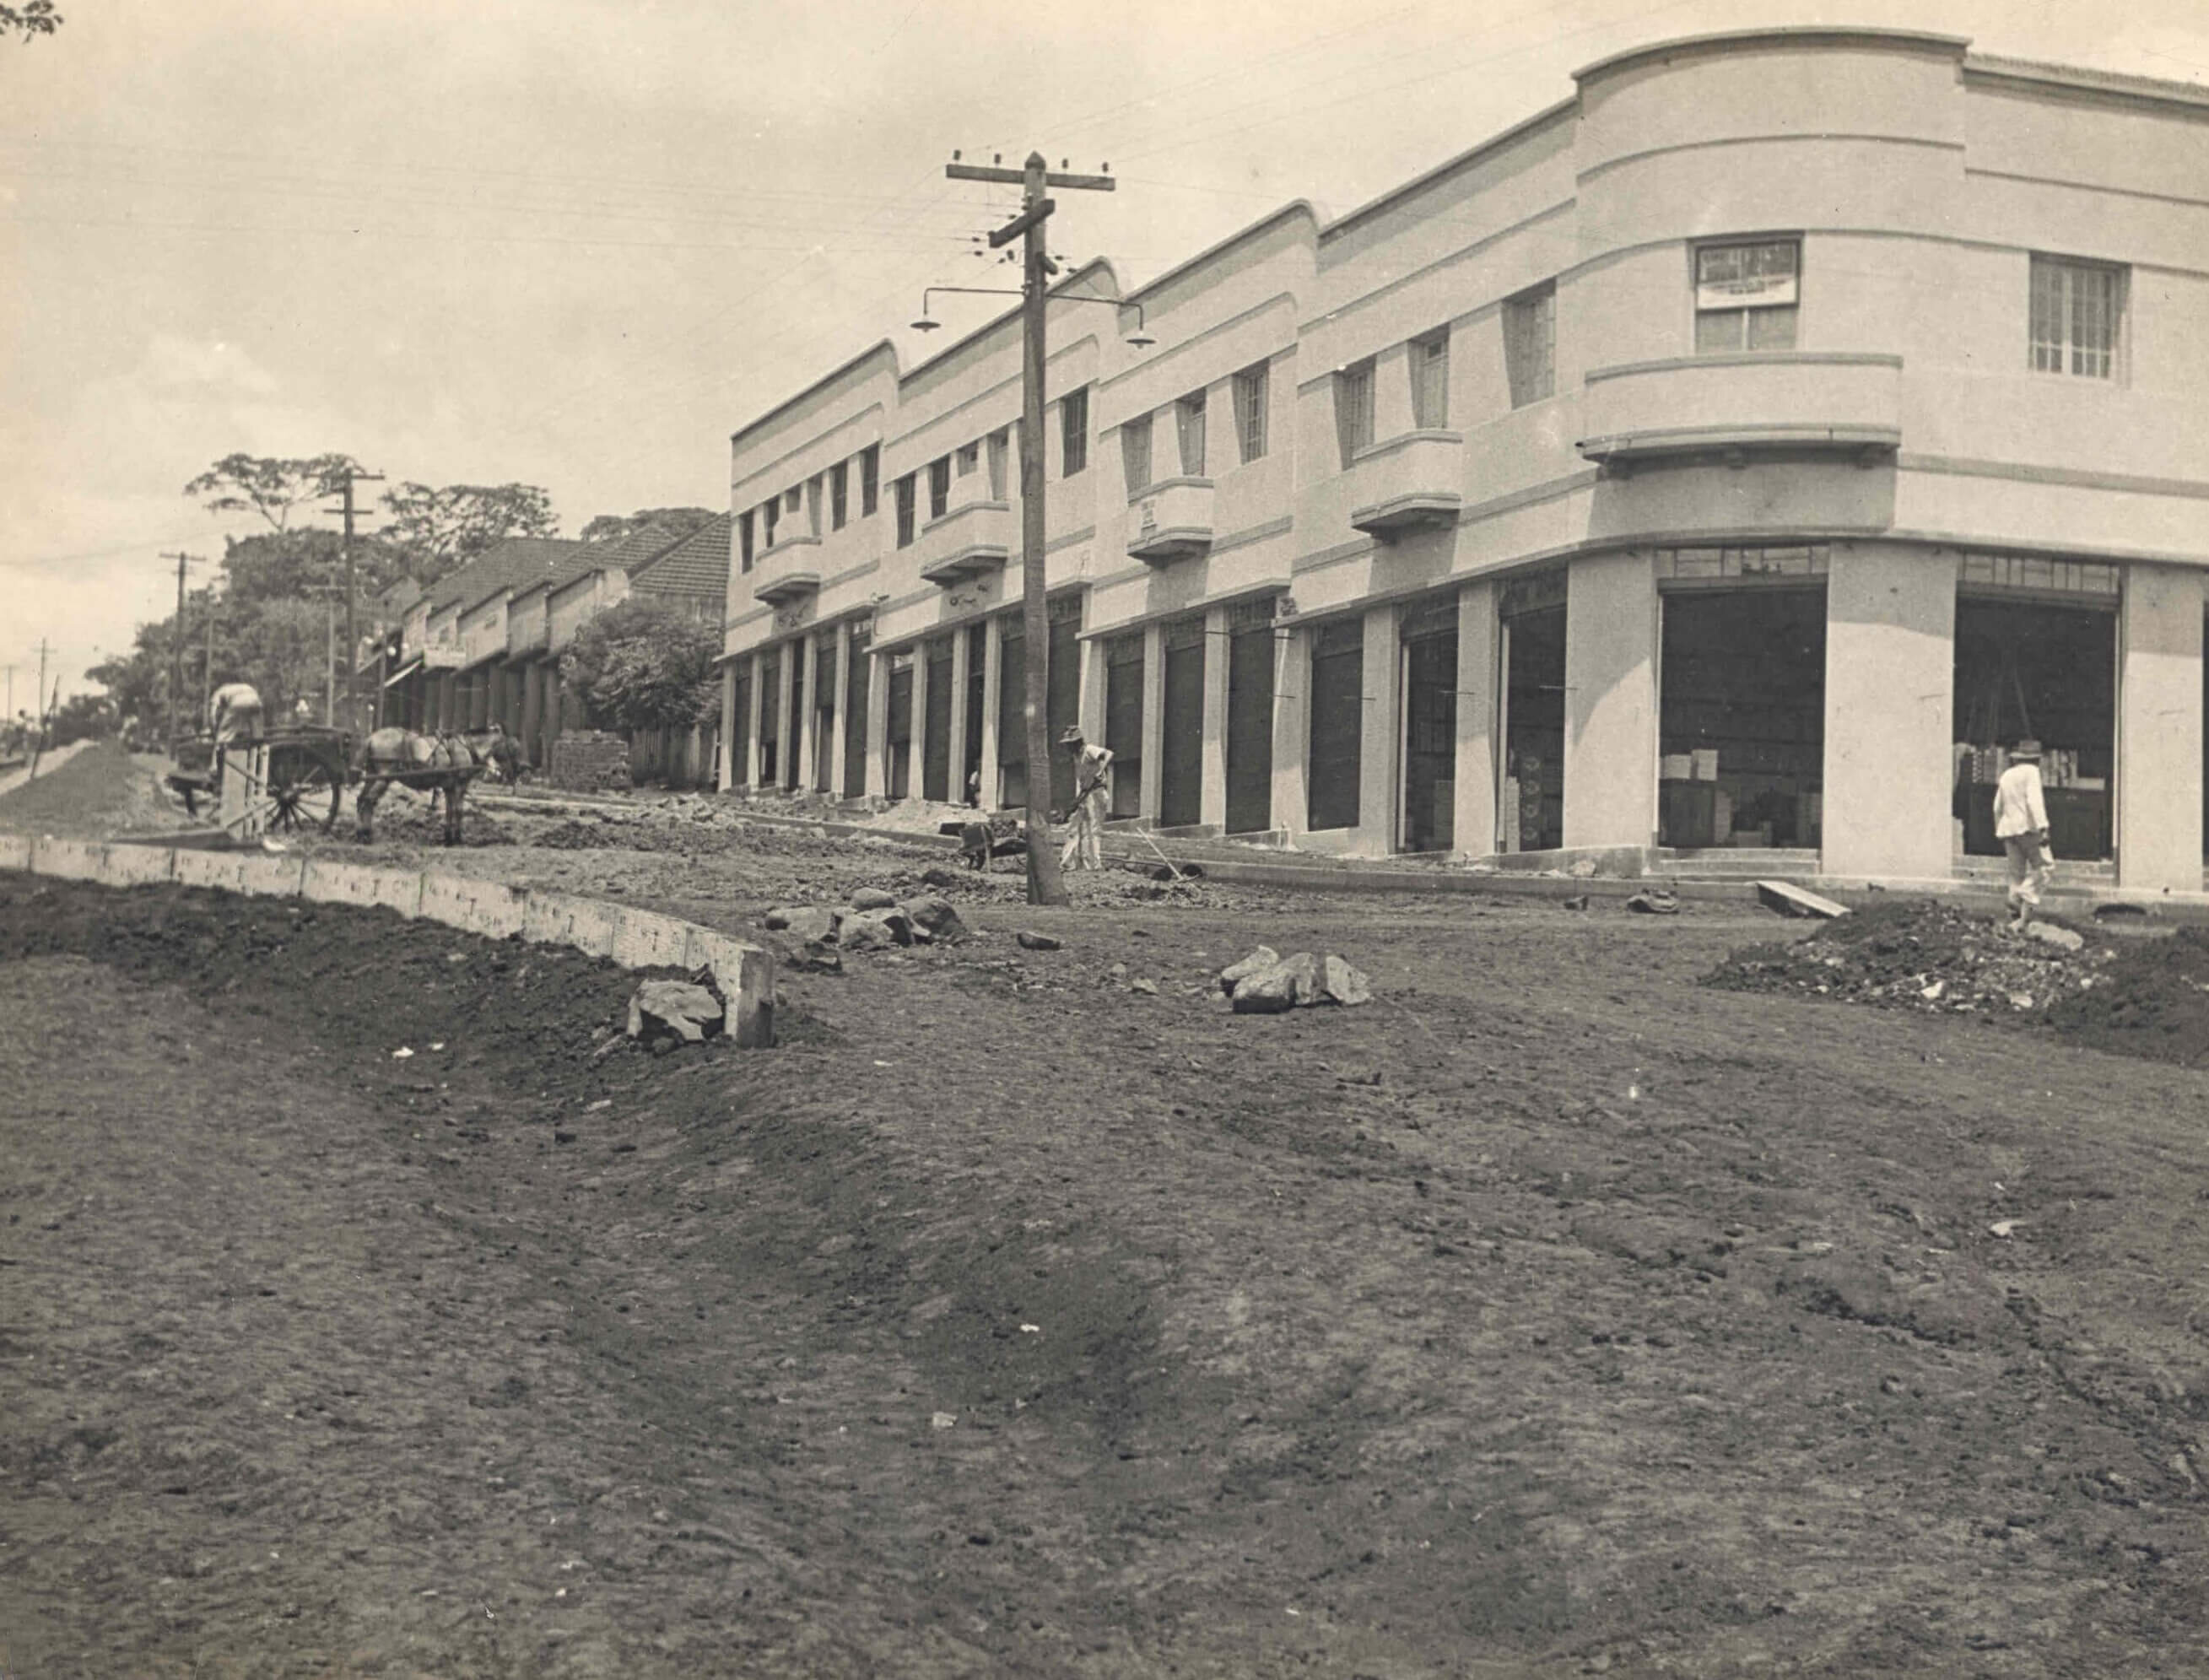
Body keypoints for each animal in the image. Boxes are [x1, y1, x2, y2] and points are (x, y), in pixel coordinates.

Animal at [353, 728, 497, 843]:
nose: (496, 772)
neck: (465, 746)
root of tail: (372, 737)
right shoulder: (459, 786)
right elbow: (458, 811)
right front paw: (458, 838)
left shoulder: (449, 787)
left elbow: (449, 811)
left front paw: (448, 838)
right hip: (383, 779)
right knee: (368, 801)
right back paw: (366, 834)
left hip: (372, 776)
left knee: (361, 799)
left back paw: (361, 833)